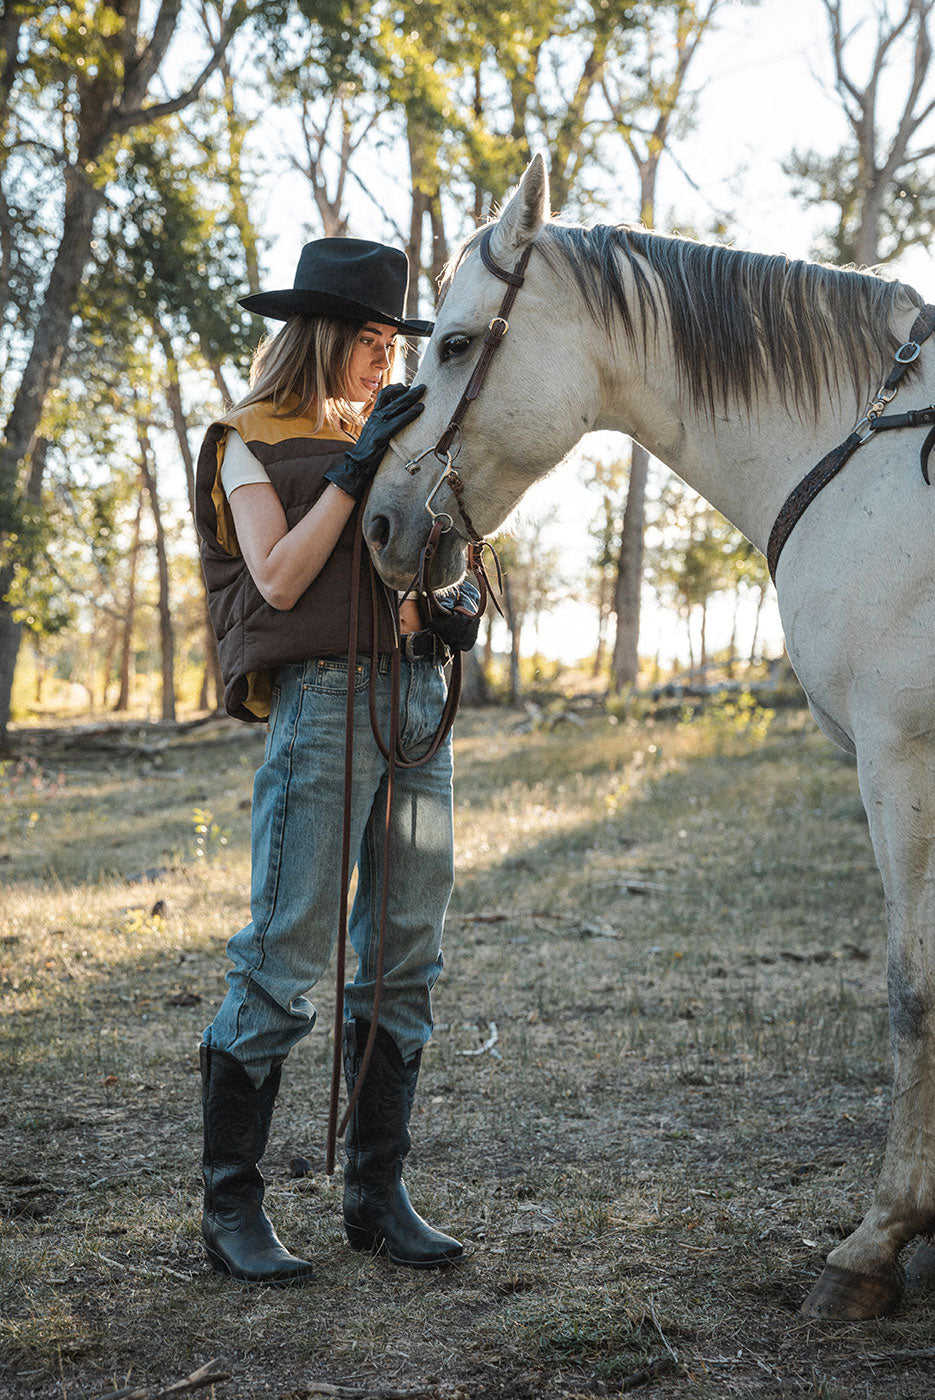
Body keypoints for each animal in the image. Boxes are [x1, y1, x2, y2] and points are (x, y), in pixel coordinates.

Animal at [363, 156, 935, 1321]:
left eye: (455, 344)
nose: (382, 526)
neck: (869, 462)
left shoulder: (898, 754)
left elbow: (912, 992)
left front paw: (876, 1241)